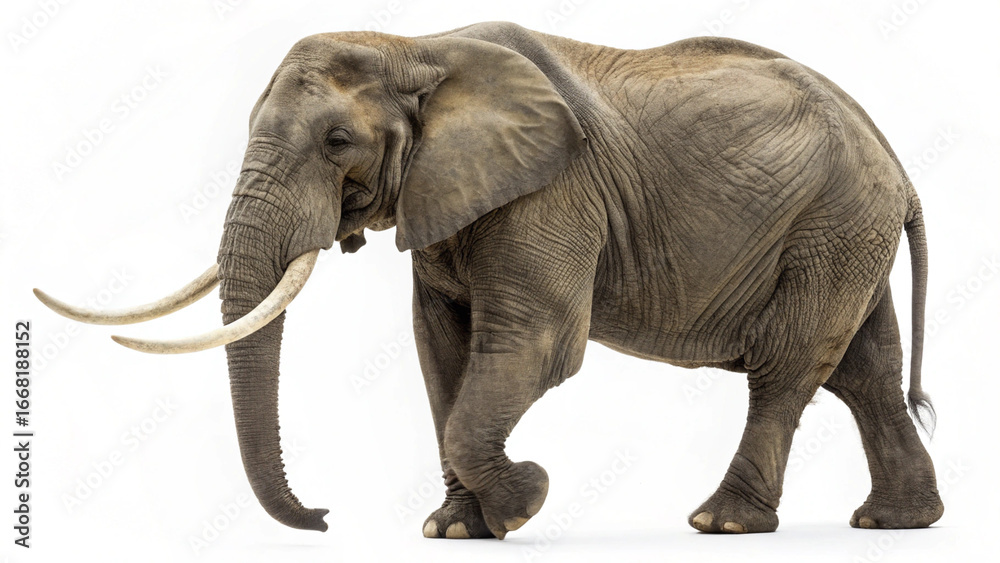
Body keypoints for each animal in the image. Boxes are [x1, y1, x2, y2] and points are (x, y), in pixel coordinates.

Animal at [35, 21, 944, 539]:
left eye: (336, 141)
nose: (324, 516)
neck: (416, 46)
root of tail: (897, 161)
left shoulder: (553, 190)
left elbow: (533, 344)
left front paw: (525, 499)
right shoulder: (443, 196)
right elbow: (442, 349)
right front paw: (454, 528)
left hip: (833, 221)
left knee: (787, 368)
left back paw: (721, 521)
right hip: (845, 229)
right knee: (863, 371)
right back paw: (895, 521)